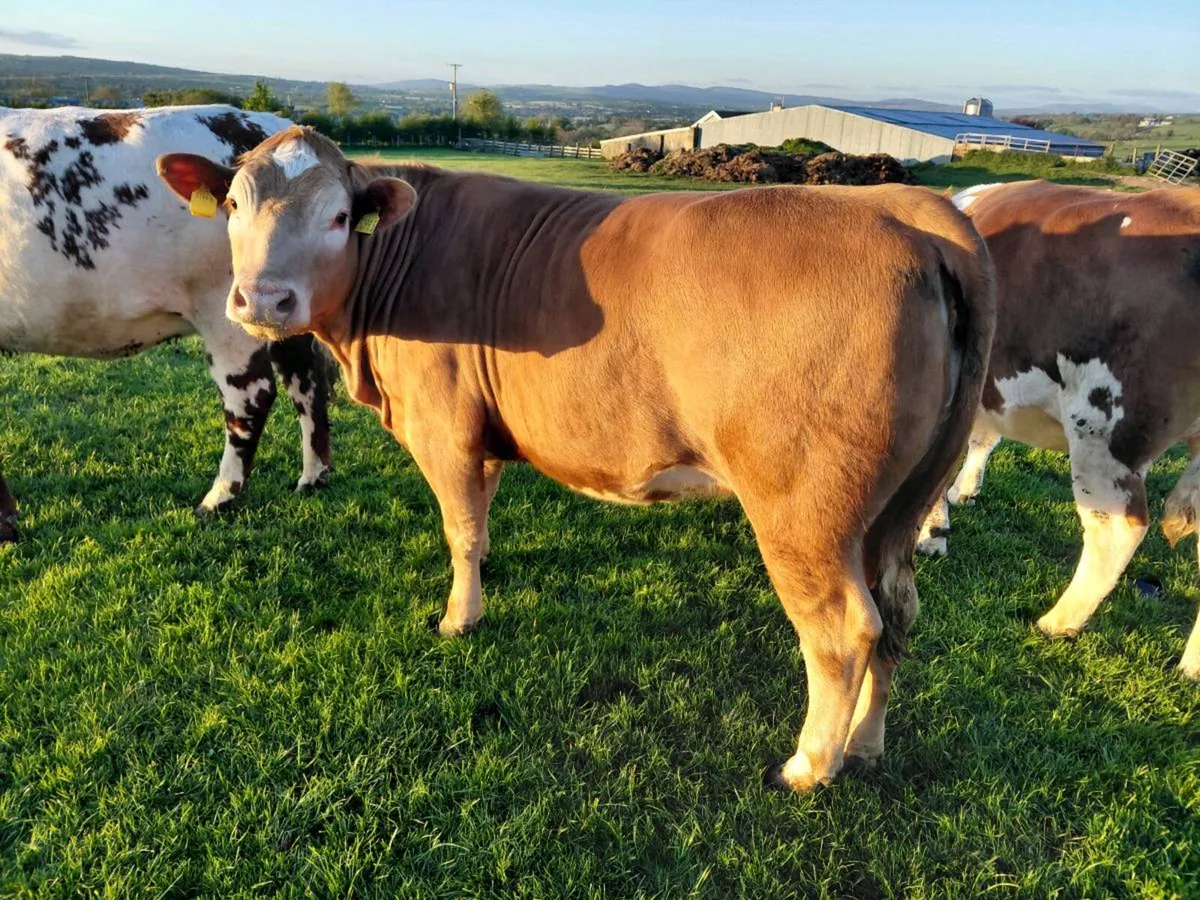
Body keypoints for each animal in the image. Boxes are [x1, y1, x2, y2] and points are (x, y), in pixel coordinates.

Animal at [157, 126, 995, 792]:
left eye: (337, 217)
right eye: (233, 208)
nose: (262, 301)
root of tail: (910, 210)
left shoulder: (442, 423)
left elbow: (458, 527)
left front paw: (460, 618)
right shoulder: (486, 427)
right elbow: (481, 519)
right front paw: (483, 577)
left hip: (804, 509)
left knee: (844, 628)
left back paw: (812, 764)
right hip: (899, 504)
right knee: (896, 610)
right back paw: (866, 745)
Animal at [916, 180, 1200, 679]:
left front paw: (931, 534)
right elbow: (981, 439)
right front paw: (962, 495)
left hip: (1102, 429)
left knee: (1116, 529)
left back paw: (1059, 621)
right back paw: (1193, 666)